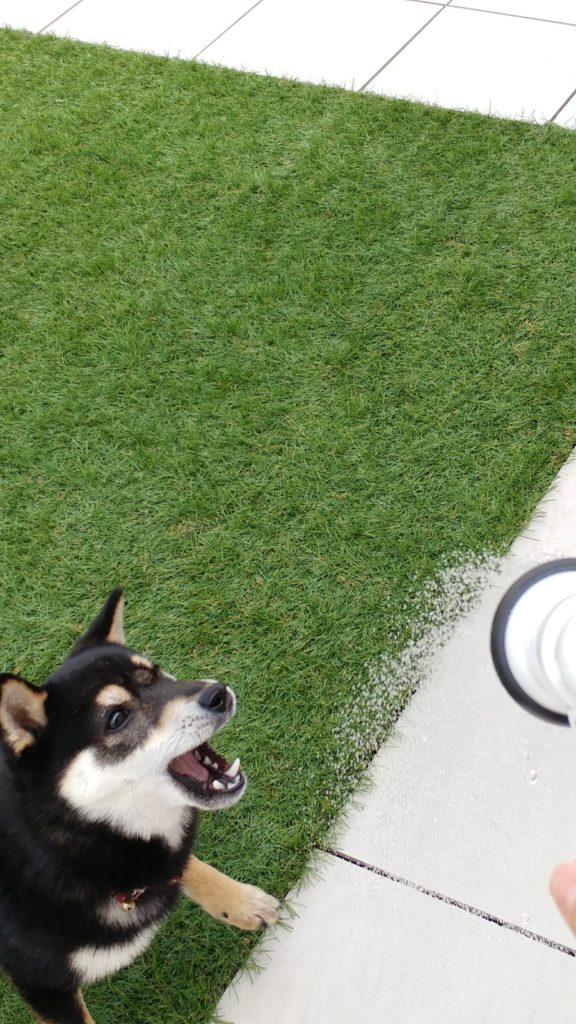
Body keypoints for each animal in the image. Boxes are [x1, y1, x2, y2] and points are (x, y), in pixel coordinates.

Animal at [0, 589, 280, 1023]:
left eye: (159, 675)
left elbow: (181, 859)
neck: (71, 838)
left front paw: (239, 901)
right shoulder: (43, 984)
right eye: (117, 717)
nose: (218, 693)